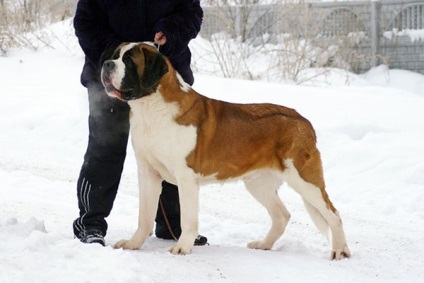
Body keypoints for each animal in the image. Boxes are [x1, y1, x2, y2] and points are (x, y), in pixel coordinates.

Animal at [100, 41, 352, 260]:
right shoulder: (148, 173)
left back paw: (340, 250)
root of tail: (303, 120)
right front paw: (133, 244)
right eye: (116, 55)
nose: (106, 64)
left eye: (129, 61)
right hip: (259, 183)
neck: (151, 108)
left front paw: (183, 247)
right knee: (282, 215)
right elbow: (144, 216)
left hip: (305, 180)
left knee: (334, 214)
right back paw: (264, 244)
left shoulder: (186, 177)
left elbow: (187, 218)